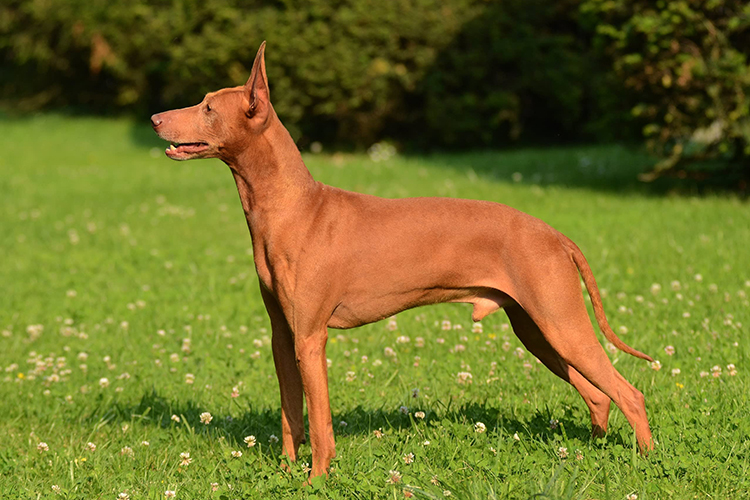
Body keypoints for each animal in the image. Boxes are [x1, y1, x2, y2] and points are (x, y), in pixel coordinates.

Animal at [151, 41, 652, 478]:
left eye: (208, 108)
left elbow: (320, 424)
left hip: (561, 326)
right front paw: (287, 474)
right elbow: (291, 418)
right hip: (538, 332)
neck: (294, 207)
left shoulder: (311, 338)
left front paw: (316, 481)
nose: (155, 118)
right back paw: (590, 453)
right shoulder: (282, 337)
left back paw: (646, 462)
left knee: (630, 394)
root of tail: (554, 234)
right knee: (599, 397)